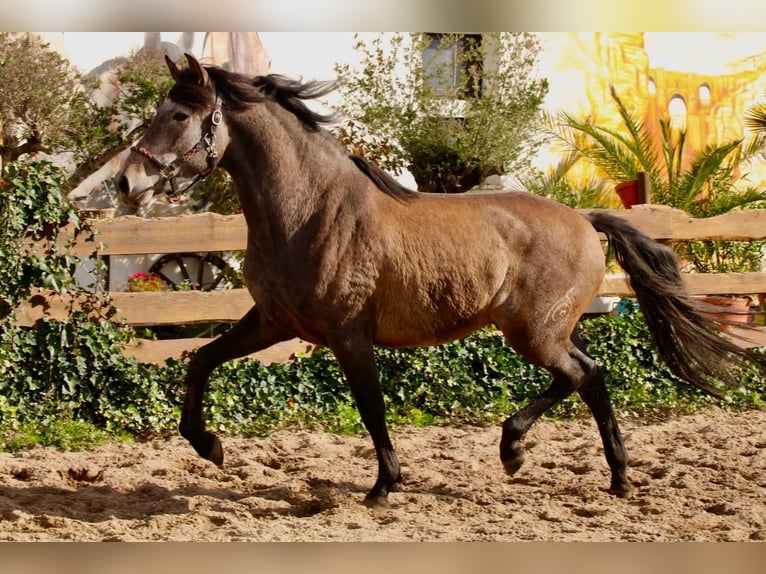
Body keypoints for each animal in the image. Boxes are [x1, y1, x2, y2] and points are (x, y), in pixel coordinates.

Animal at [116, 53, 765, 509]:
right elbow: (201, 359)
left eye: (178, 115)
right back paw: (595, 471)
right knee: (590, 375)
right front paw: (210, 446)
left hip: (533, 332)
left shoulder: (348, 336)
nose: (126, 183)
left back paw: (532, 454)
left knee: (581, 375)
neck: (308, 209)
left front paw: (383, 487)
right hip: (547, 329)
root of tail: (585, 218)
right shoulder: (273, 322)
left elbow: (371, 407)